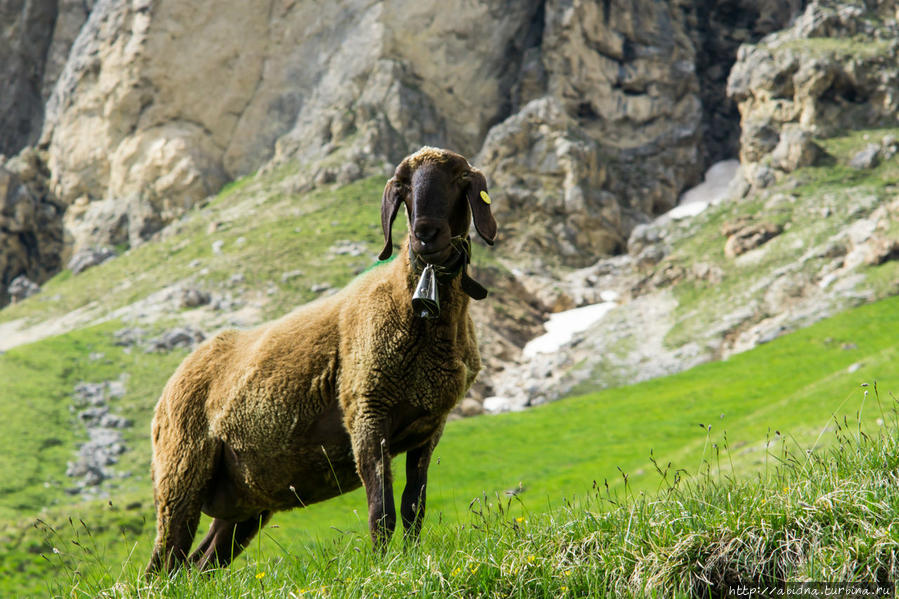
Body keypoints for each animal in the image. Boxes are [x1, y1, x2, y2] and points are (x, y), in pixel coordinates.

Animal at [147, 146, 500, 576]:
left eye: (459, 179)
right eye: (403, 186)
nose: (425, 235)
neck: (412, 303)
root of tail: (172, 383)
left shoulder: (429, 428)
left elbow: (413, 507)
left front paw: (412, 560)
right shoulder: (366, 410)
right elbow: (381, 511)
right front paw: (382, 567)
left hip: (244, 500)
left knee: (199, 565)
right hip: (181, 472)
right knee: (164, 564)